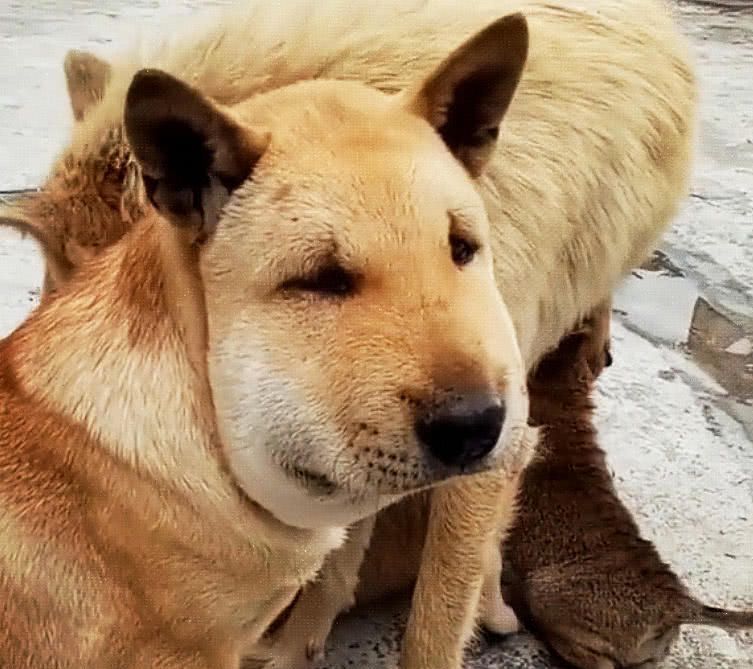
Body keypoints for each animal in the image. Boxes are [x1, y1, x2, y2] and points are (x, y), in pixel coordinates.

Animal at [0, 1, 697, 667]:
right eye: (321, 277)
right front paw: (297, 645)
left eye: (462, 248)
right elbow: (342, 559)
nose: (474, 425)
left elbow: (433, 625)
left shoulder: (492, 448)